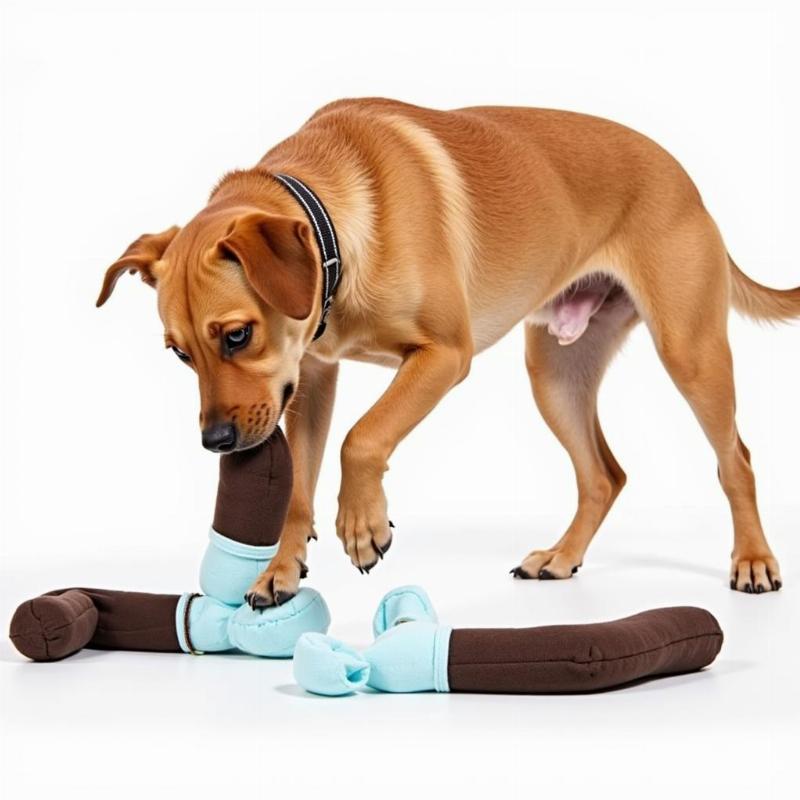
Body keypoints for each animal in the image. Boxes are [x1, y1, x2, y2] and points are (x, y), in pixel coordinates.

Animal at [98, 97, 792, 604]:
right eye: (179, 354)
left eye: (238, 335)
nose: (215, 441)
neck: (335, 227)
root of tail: (685, 180)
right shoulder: (313, 380)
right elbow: (299, 484)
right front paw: (281, 567)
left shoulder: (444, 356)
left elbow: (364, 436)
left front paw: (364, 526)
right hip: (555, 373)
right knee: (603, 476)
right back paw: (561, 558)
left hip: (690, 353)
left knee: (736, 460)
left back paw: (754, 560)